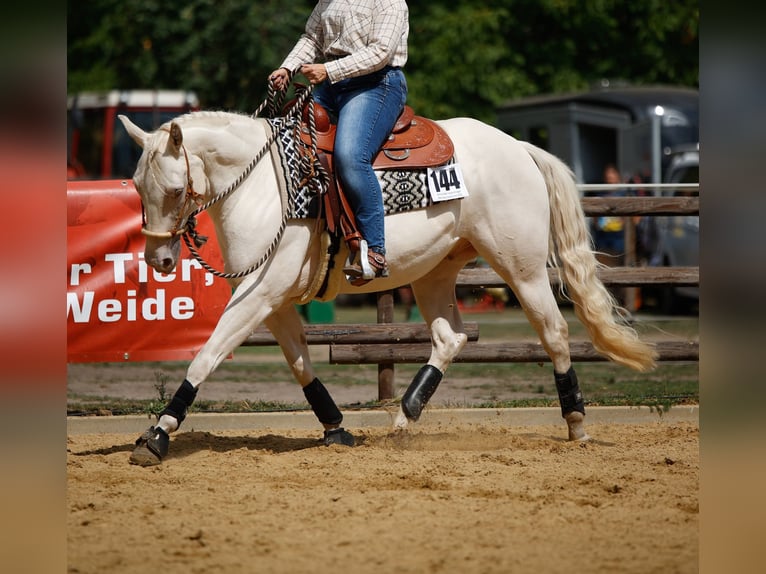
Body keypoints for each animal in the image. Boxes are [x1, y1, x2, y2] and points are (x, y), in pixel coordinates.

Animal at [118, 106, 657, 466]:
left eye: (173, 189)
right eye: (136, 187)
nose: (159, 260)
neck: (265, 185)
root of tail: (518, 149)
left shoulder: (259, 294)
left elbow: (206, 356)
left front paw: (158, 434)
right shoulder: (274, 300)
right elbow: (299, 362)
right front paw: (335, 428)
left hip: (521, 269)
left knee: (555, 333)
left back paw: (576, 422)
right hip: (434, 273)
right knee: (450, 337)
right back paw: (404, 417)